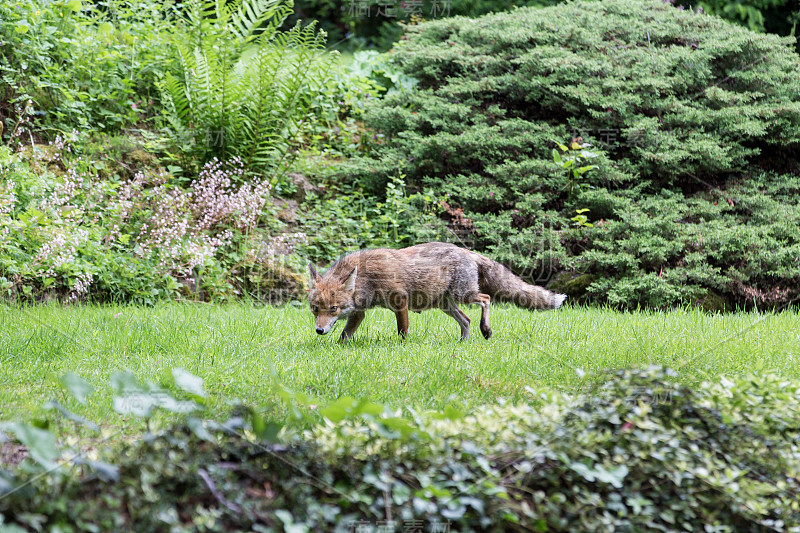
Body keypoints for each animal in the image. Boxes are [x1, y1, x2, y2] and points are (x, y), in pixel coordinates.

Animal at [304, 242, 564, 340]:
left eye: (333, 308)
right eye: (315, 309)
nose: (319, 330)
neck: (366, 278)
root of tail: (466, 250)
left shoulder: (399, 300)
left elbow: (402, 331)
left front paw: (401, 347)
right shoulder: (359, 312)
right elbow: (345, 335)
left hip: (464, 295)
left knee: (486, 298)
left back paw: (486, 329)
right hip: (446, 305)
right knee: (466, 320)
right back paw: (462, 343)